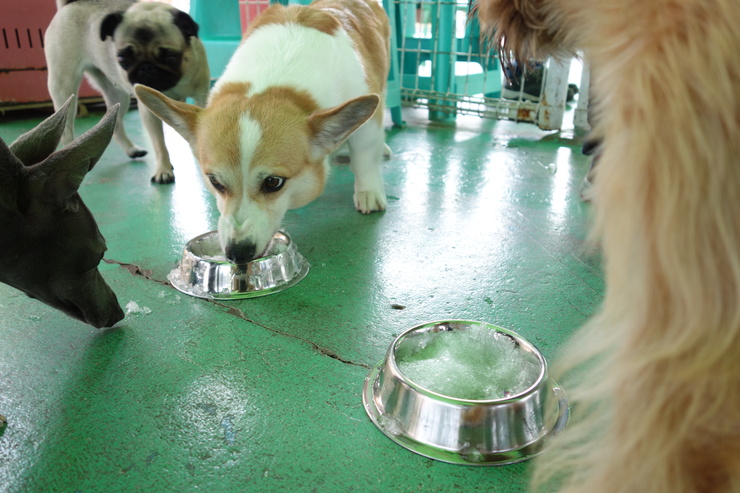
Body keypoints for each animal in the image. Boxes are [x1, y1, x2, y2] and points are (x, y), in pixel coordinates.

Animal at [44, 0, 210, 183]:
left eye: (171, 57)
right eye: (123, 58)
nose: (146, 67)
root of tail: (70, 4)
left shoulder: (201, 97)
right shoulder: (149, 113)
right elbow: (159, 144)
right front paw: (163, 169)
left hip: (119, 97)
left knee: (115, 125)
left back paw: (132, 150)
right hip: (64, 88)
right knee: (66, 129)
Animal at [134, 0, 388, 262]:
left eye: (273, 182)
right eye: (215, 181)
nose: (237, 253)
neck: (271, 84)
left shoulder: (368, 125)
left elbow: (364, 159)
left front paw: (368, 192)